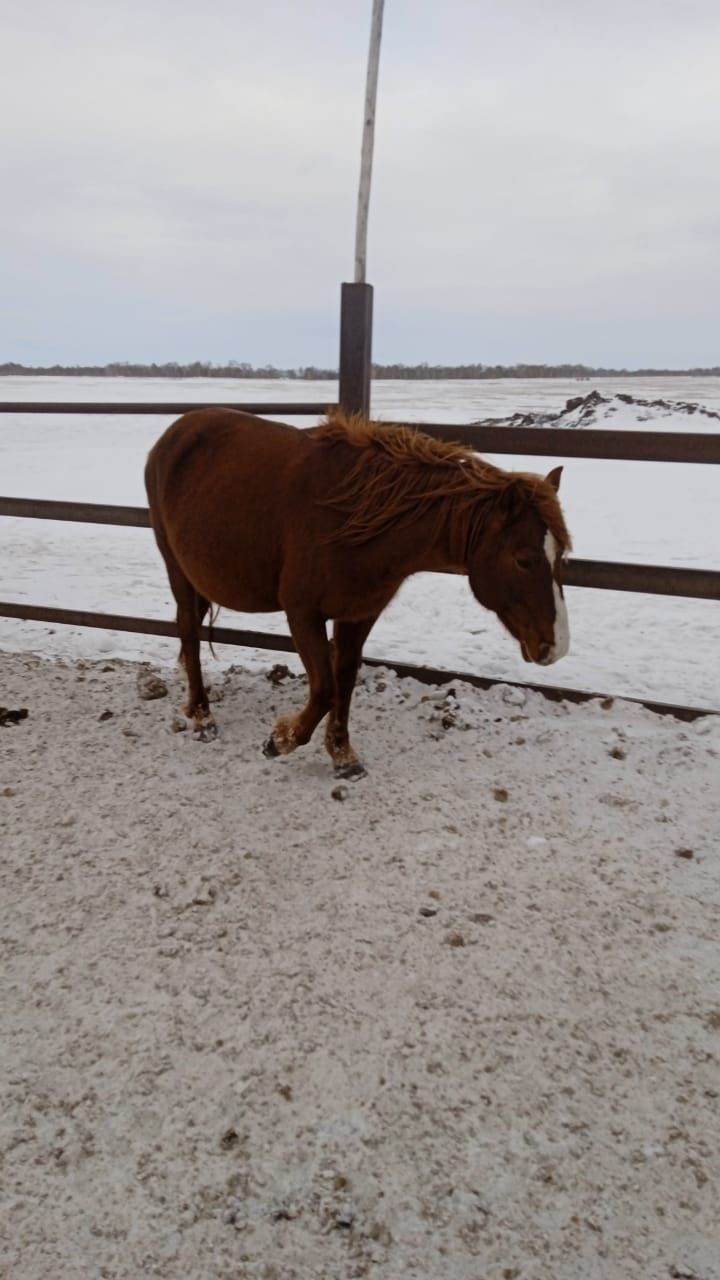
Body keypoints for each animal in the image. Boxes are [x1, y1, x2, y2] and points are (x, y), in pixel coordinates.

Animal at [146, 407, 568, 778]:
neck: (354, 520)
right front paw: (280, 740)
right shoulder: (303, 613)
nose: (556, 647)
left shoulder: (359, 613)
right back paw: (203, 716)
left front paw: (342, 754)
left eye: (560, 554)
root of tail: (175, 433)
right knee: (189, 632)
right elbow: (324, 689)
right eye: (524, 560)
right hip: (176, 568)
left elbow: (344, 681)